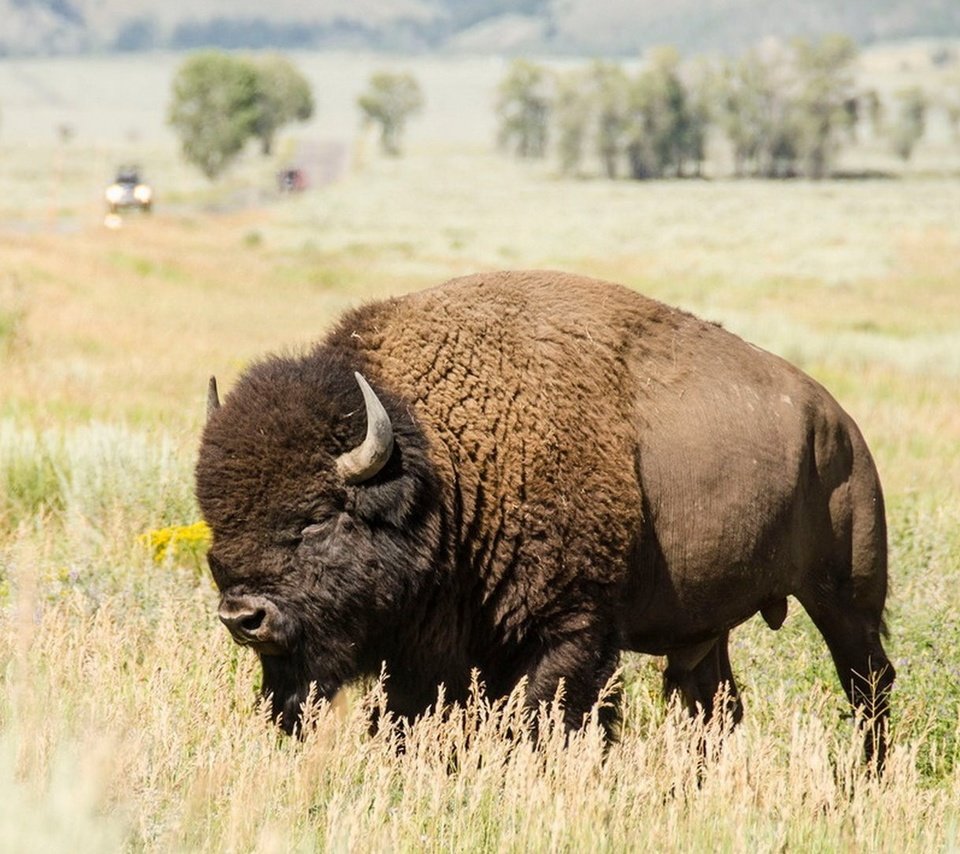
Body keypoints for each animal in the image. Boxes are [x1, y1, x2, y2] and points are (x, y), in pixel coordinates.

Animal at [199, 270, 896, 764]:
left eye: (317, 518)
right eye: (213, 520)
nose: (243, 617)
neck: (446, 464)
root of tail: (838, 423)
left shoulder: (572, 630)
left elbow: (541, 720)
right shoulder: (433, 652)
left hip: (846, 598)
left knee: (869, 686)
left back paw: (866, 780)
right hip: (707, 627)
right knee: (715, 706)